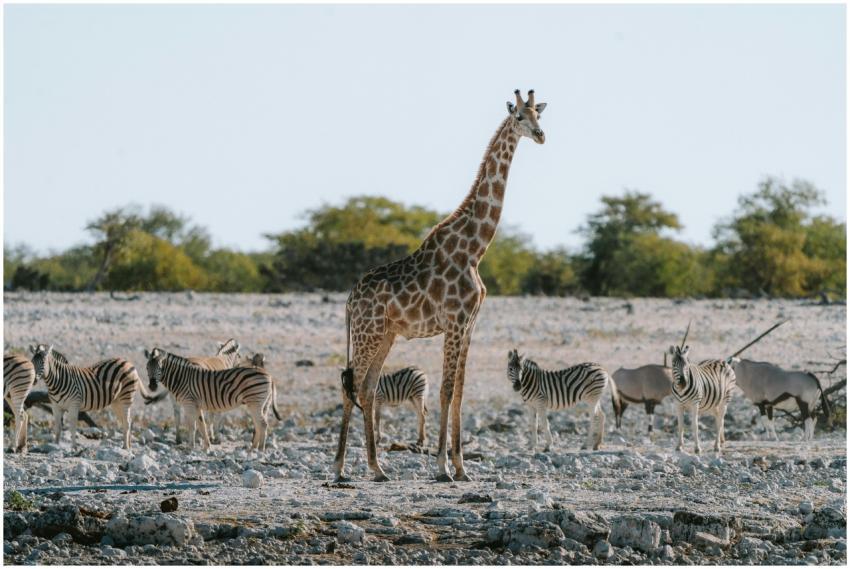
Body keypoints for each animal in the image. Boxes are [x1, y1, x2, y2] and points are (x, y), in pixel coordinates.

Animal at [144, 347, 280, 450]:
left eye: (160, 368)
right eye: (147, 368)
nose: (152, 386)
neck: (181, 378)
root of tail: (269, 375)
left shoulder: (189, 403)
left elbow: (192, 426)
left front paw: (190, 447)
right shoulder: (197, 405)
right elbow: (202, 425)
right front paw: (206, 447)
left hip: (255, 403)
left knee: (262, 424)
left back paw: (260, 449)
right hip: (262, 404)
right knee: (259, 424)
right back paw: (252, 449)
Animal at [335, 89, 547, 482]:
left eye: (538, 115)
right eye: (519, 118)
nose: (541, 135)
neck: (475, 249)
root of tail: (349, 300)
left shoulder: (469, 325)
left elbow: (460, 391)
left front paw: (462, 468)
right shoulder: (454, 322)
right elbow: (446, 391)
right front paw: (442, 466)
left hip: (385, 334)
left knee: (368, 388)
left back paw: (377, 468)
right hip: (367, 332)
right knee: (351, 385)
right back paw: (340, 468)